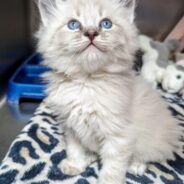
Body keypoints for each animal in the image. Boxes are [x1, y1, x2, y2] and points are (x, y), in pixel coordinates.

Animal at [36, 0, 180, 183]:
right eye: (73, 25)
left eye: (106, 24)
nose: (91, 33)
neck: (87, 83)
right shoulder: (71, 127)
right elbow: (75, 150)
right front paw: (75, 165)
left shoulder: (118, 136)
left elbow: (112, 167)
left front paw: (107, 180)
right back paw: (90, 156)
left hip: (152, 140)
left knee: (148, 155)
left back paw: (136, 166)